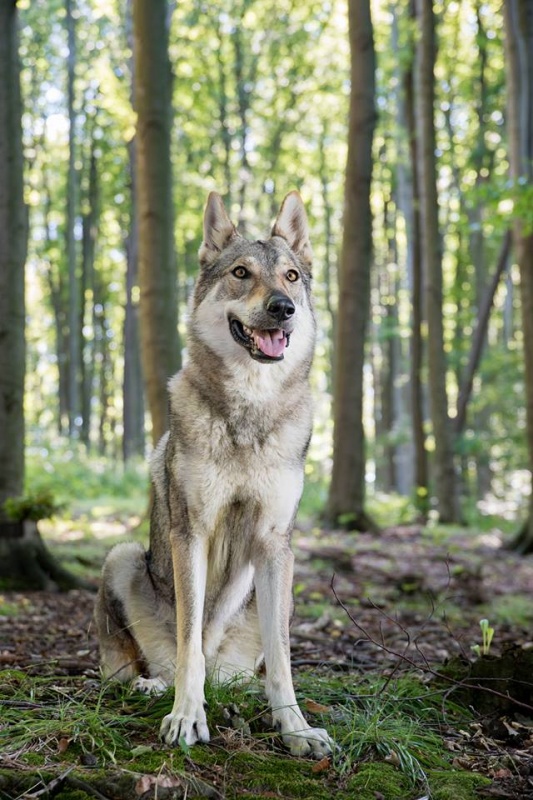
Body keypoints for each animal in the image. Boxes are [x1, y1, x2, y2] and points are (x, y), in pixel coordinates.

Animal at [93, 191, 330, 760]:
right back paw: (153, 685)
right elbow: (189, 643)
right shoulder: (191, 533)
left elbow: (283, 659)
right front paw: (186, 716)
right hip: (121, 556)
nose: (283, 308)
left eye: (291, 276)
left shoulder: (275, 543)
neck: (249, 413)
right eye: (242, 273)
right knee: (130, 668)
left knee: (243, 669)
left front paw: (295, 729)